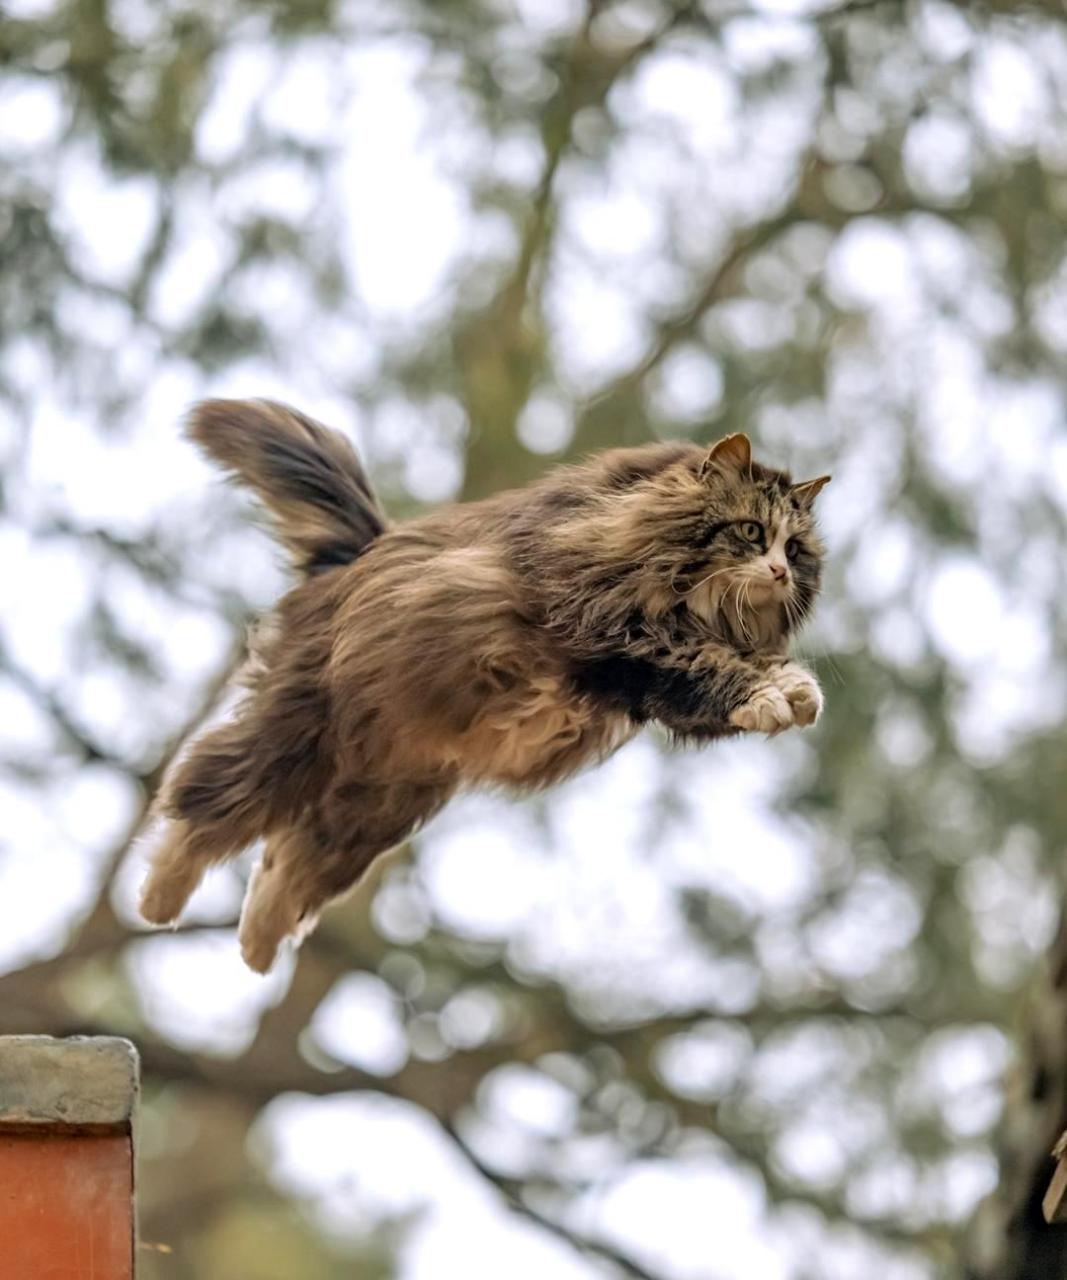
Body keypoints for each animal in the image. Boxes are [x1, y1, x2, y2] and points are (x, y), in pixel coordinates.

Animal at [136, 399, 829, 967]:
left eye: (796, 551)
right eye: (751, 533)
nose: (777, 573)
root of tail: (359, 559)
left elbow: (734, 673)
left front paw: (795, 689)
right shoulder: (611, 629)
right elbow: (705, 666)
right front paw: (768, 694)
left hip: (379, 801)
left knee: (288, 864)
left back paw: (258, 946)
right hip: (302, 734)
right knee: (205, 804)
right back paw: (160, 898)